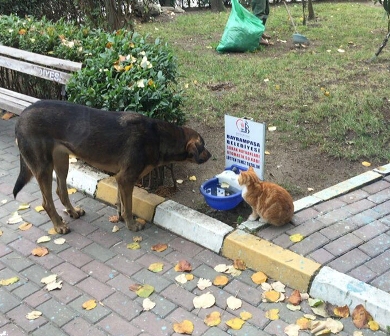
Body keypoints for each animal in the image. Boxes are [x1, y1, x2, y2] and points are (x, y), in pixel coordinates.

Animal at [13, 100, 212, 234]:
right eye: (203, 145)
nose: (210, 155)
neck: (159, 137)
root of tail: (21, 116)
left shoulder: (120, 178)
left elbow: (120, 202)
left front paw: (121, 218)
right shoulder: (126, 178)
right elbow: (129, 206)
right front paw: (132, 225)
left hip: (62, 161)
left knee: (61, 191)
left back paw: (73, 212)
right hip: (43, 167)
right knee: (46, 203)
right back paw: (59, 226)